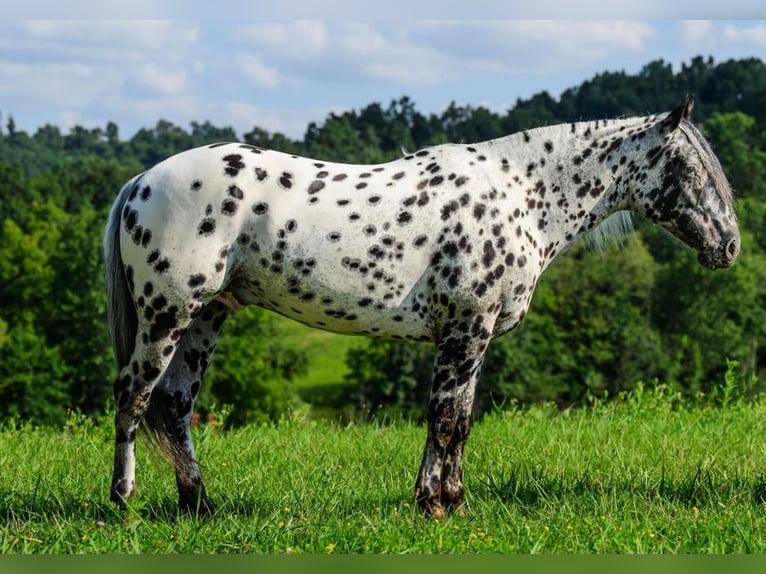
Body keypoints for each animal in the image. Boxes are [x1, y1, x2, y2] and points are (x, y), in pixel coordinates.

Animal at [104, 95, 739, 518]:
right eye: (690, 167)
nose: (729, 246)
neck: (521, 195)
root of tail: (140, 181)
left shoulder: (469, 338)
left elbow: (456, 421)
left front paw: (441, 501)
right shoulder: (465, 331)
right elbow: (448, 419)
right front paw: (441, 504)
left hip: (204, 318)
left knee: (175, 405)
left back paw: (199, 504)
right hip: (168, 315)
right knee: (133, 396)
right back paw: (122, 503)